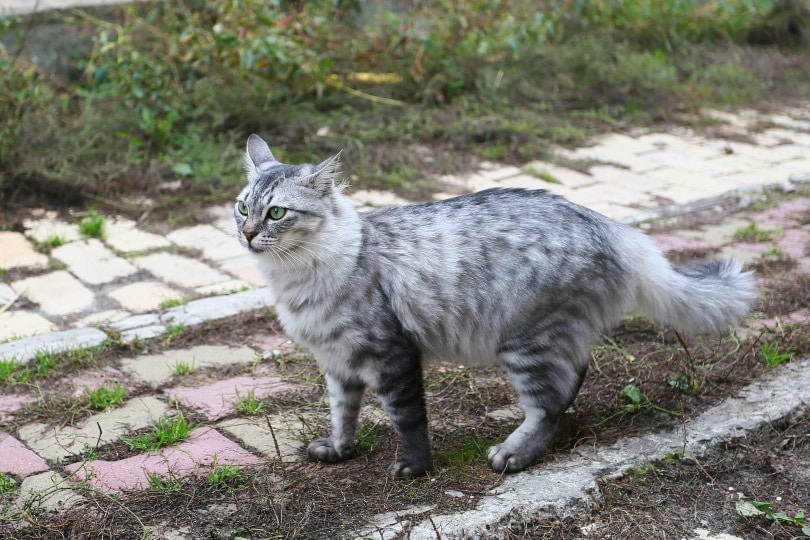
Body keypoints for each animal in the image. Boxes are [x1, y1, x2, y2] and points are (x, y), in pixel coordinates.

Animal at [235, 134, 756, 476]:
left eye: (277, 212)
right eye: (243, 207)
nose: (247, 234)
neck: (300, 276)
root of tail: (611, 226)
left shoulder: (392, 355)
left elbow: (408, 418)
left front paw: (414, 468)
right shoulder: (337, 363)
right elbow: (343, 413)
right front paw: (340, 450)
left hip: (524, 341)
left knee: (548, 402)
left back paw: (513, 454)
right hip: (547, 338)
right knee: (573, 378)